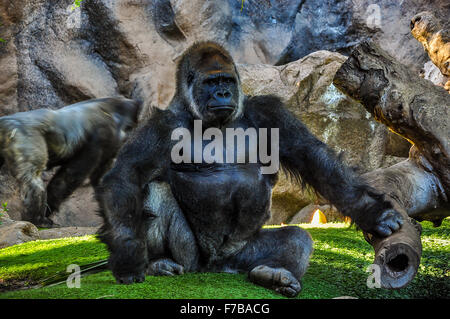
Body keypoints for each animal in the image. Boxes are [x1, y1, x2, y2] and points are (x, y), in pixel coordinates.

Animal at [0, 97, 141, 228]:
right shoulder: (103, 134)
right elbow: (69, 177)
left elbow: (101, 180)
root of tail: (5, 121)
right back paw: (37, 220)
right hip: (21, 133)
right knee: (33, 180)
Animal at [96, 42, 402, 298]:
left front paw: (373, 213)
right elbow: (126, 175)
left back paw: (273, 273)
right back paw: (158, 263)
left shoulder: (268, 111)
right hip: (193, 260)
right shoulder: (162, 125)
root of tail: (218, 268)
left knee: (295, 239)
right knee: (155, 192)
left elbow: (312, 158)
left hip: (242, 253)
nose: (223, 93)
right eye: (212, 82)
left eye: (227, 81)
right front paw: (128, 256)